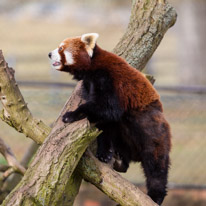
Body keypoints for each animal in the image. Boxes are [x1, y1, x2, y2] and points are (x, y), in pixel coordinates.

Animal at [48, 33, 172, 205]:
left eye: (60, 49)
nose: (49, 54)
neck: (92, 66)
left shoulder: (108, 80)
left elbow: (108, 109)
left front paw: (71, 114)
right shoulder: (89, 85)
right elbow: (105, 124)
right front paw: (104, 153)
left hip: (153, 130)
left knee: (156, 166)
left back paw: (155, 196)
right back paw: (121, 160)